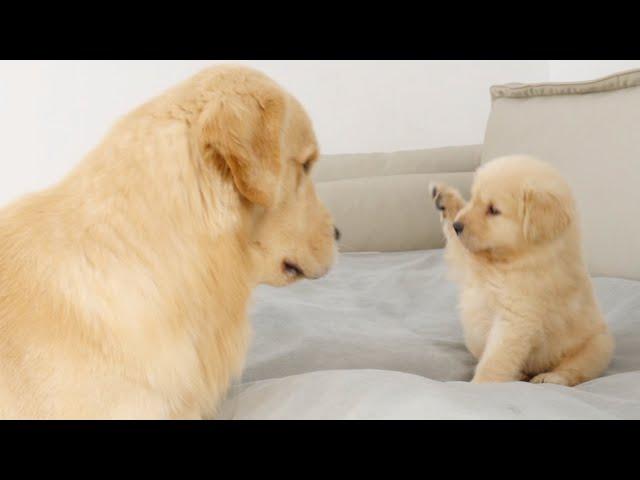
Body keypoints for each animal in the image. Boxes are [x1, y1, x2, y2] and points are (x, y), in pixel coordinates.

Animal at [430, 156, 616, 388]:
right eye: (473, 199)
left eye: (493, 210)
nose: (458, 226)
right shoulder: (469, 263)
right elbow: (458, 243)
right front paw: (446, 199)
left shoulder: (516, 317)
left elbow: (495, 360)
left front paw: (481, 385)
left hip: (598, 345)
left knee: (575, 370)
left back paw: (549, 377)